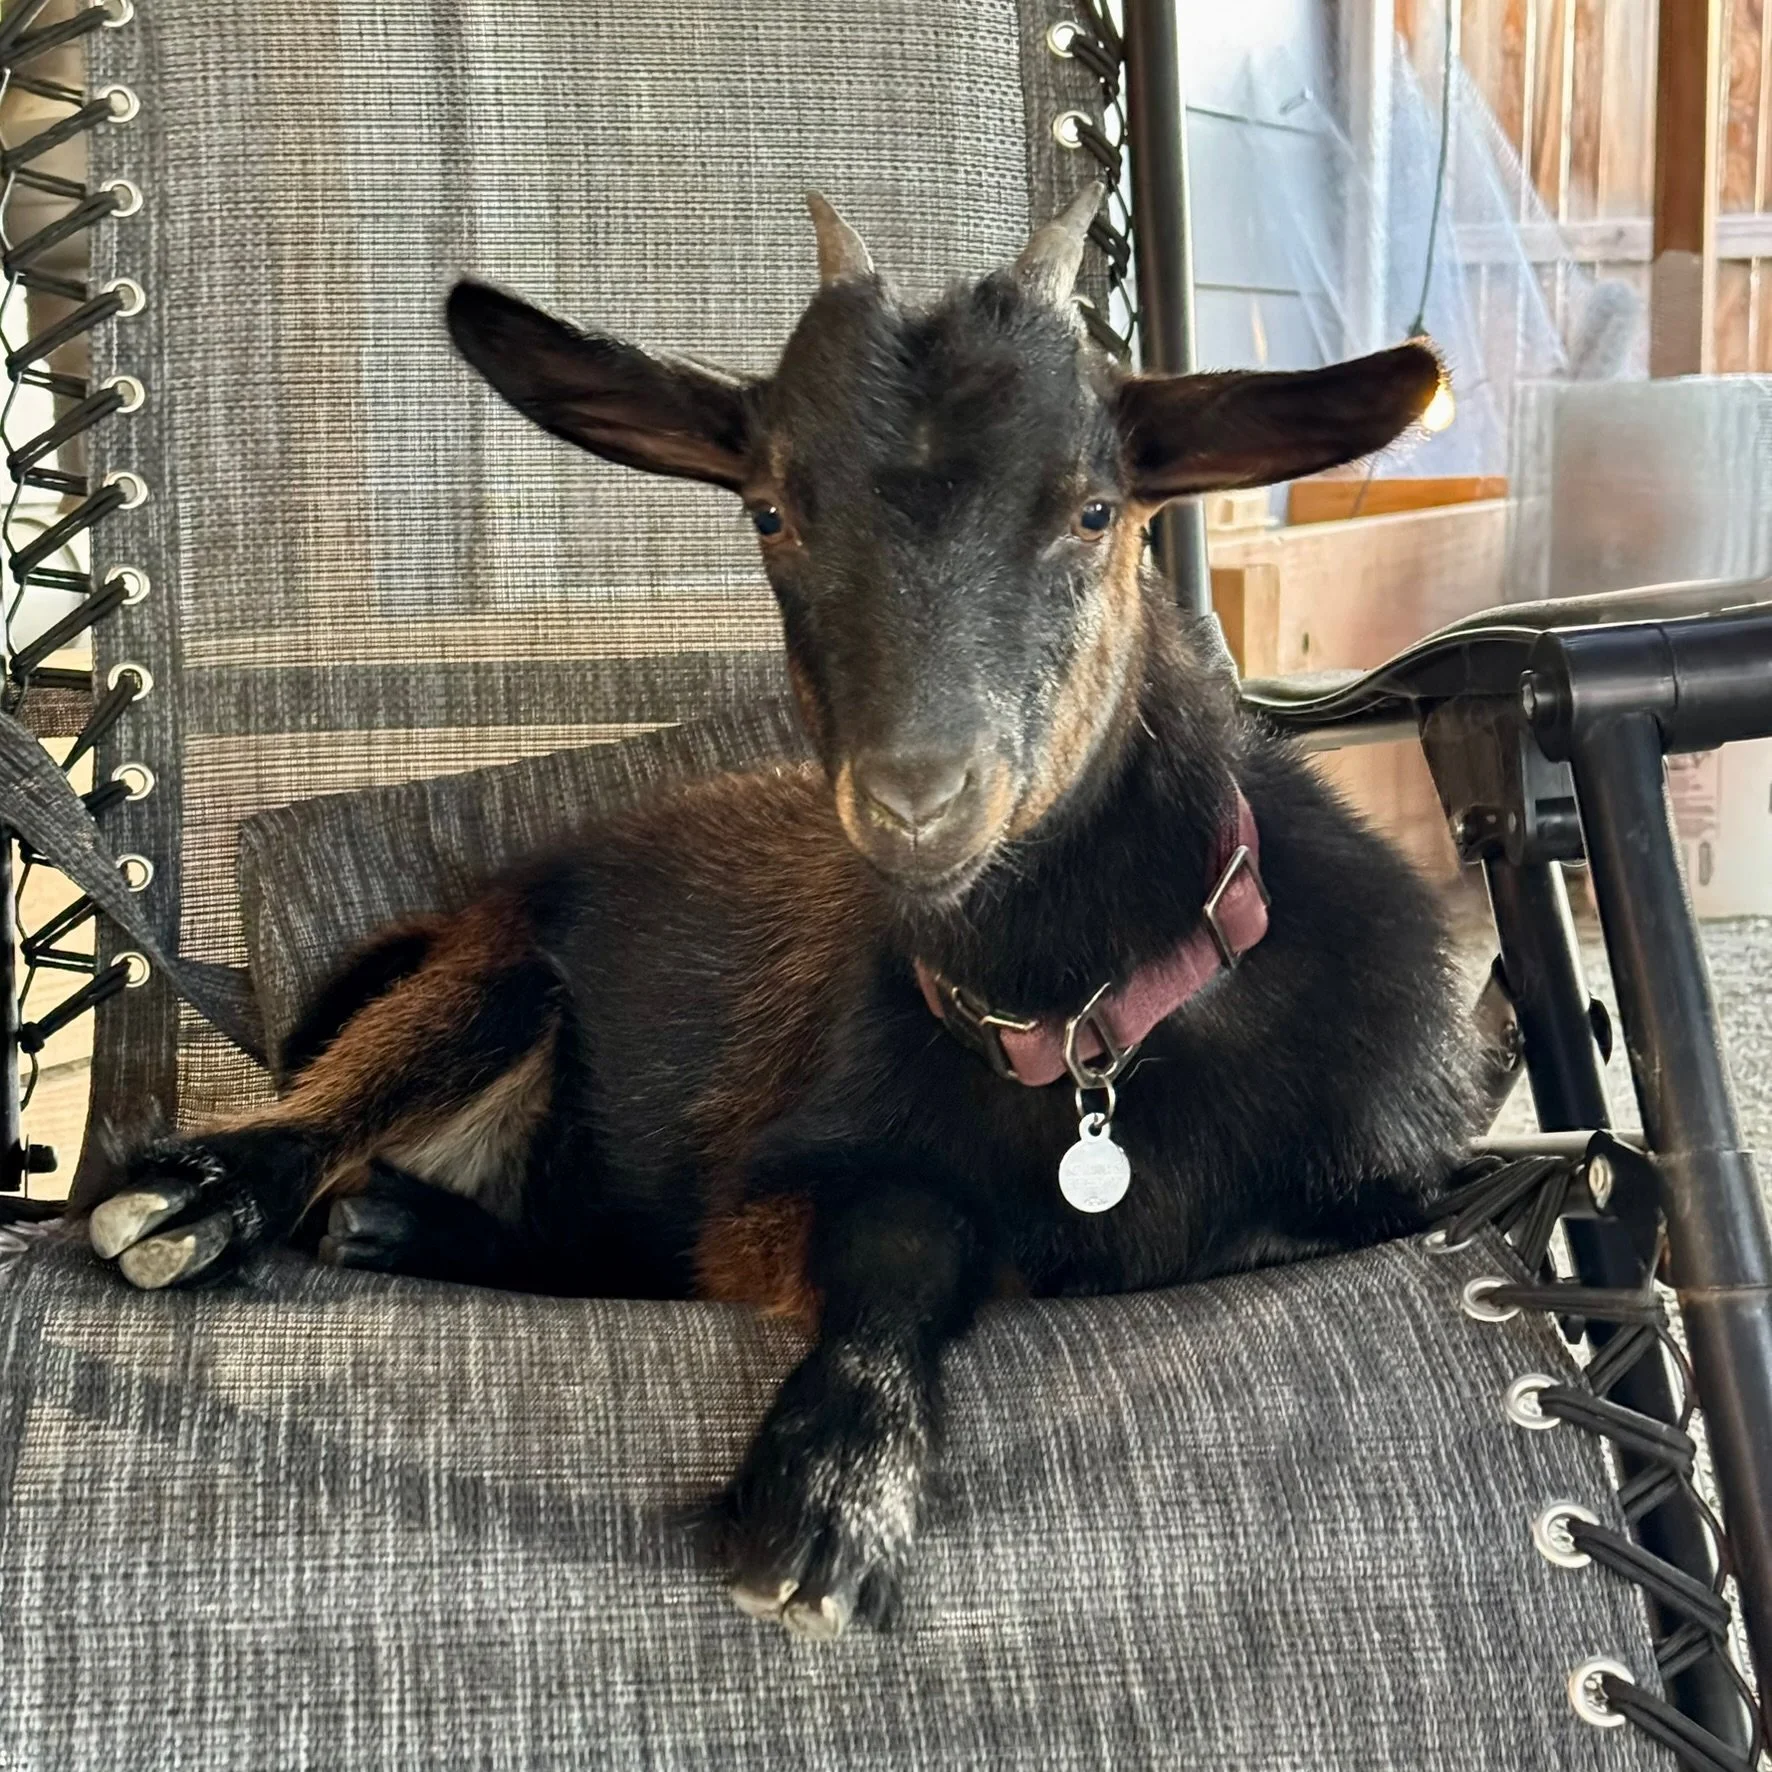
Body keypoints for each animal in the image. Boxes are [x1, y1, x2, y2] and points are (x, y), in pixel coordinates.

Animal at [84, 187, 1478, 1639]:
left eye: (1097, 508)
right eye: (768, 511)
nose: (919, 799)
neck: (1083, 1033)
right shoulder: (779, 1180)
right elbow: (912, 1231)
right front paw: (829, 1495)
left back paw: (393, 1223)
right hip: (494, 978)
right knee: (358, 1111)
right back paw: (208, 1196)